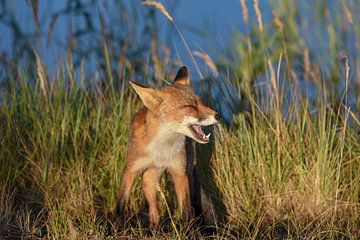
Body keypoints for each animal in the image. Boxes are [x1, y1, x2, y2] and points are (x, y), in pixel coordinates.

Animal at [115, 65, 221, 229]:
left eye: (201, 102)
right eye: (189, 106)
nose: (218, 116)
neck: (161, 150)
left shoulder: (179, 172)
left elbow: (185, 210)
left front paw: (186, 230)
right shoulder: (130, 169)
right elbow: (120, 204)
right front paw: (115, 227)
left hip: (186, 173)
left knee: (190, 204)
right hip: (148, 180)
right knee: (154, 210)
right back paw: (154, 229)